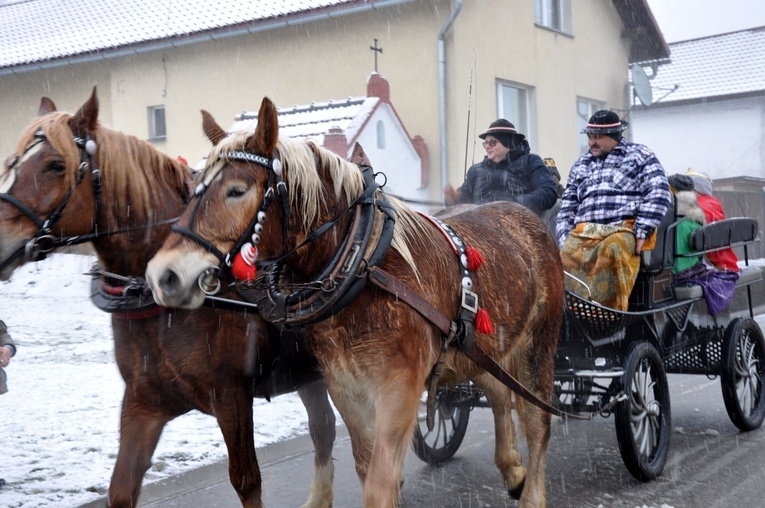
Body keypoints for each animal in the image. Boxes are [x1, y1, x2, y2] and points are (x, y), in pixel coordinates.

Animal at [0, 90, 334, 508]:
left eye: (55, 165)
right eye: (13, 162)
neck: (157, 305)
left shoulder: (232, 397)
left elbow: (246, 480)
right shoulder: (143, 404)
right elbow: (121, 489)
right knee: (324, 428)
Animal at [146, 97, 564, 506]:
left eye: (237, 190)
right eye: (194, 187)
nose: (164, 274)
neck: (362, 264)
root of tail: (523, 214)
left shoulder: (400, 386)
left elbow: (381, 480)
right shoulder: (345, 385)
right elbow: (367, 468)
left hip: (538, 343)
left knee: (537, 420)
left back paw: (532, 493)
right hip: (480, 348)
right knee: (498, 390)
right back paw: (512, 468)